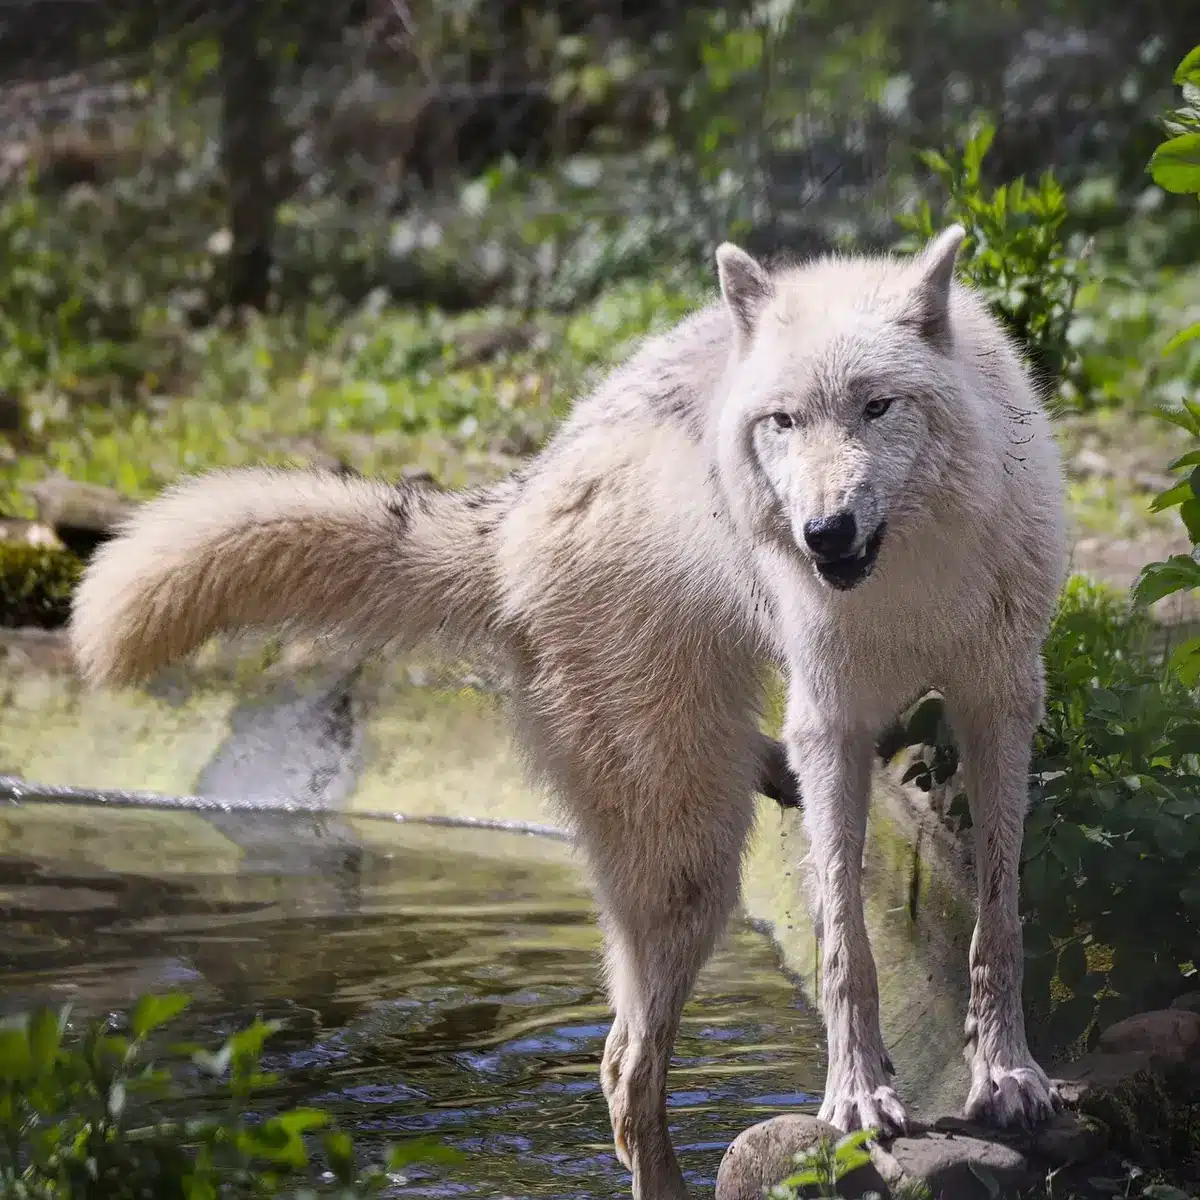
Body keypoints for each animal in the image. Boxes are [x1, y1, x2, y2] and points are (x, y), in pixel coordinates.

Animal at [70, 224, 1065, 1199]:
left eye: (877, 408)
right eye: (784, 421)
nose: (824, 533)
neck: (910, 582)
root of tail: (519, 503)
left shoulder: (1002, 700)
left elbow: (1000, 917)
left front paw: (1007, 1077)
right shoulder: (830, 723)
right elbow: (846, 947)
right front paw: (857, 1097)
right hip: (691, 856)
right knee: (626, 1072)